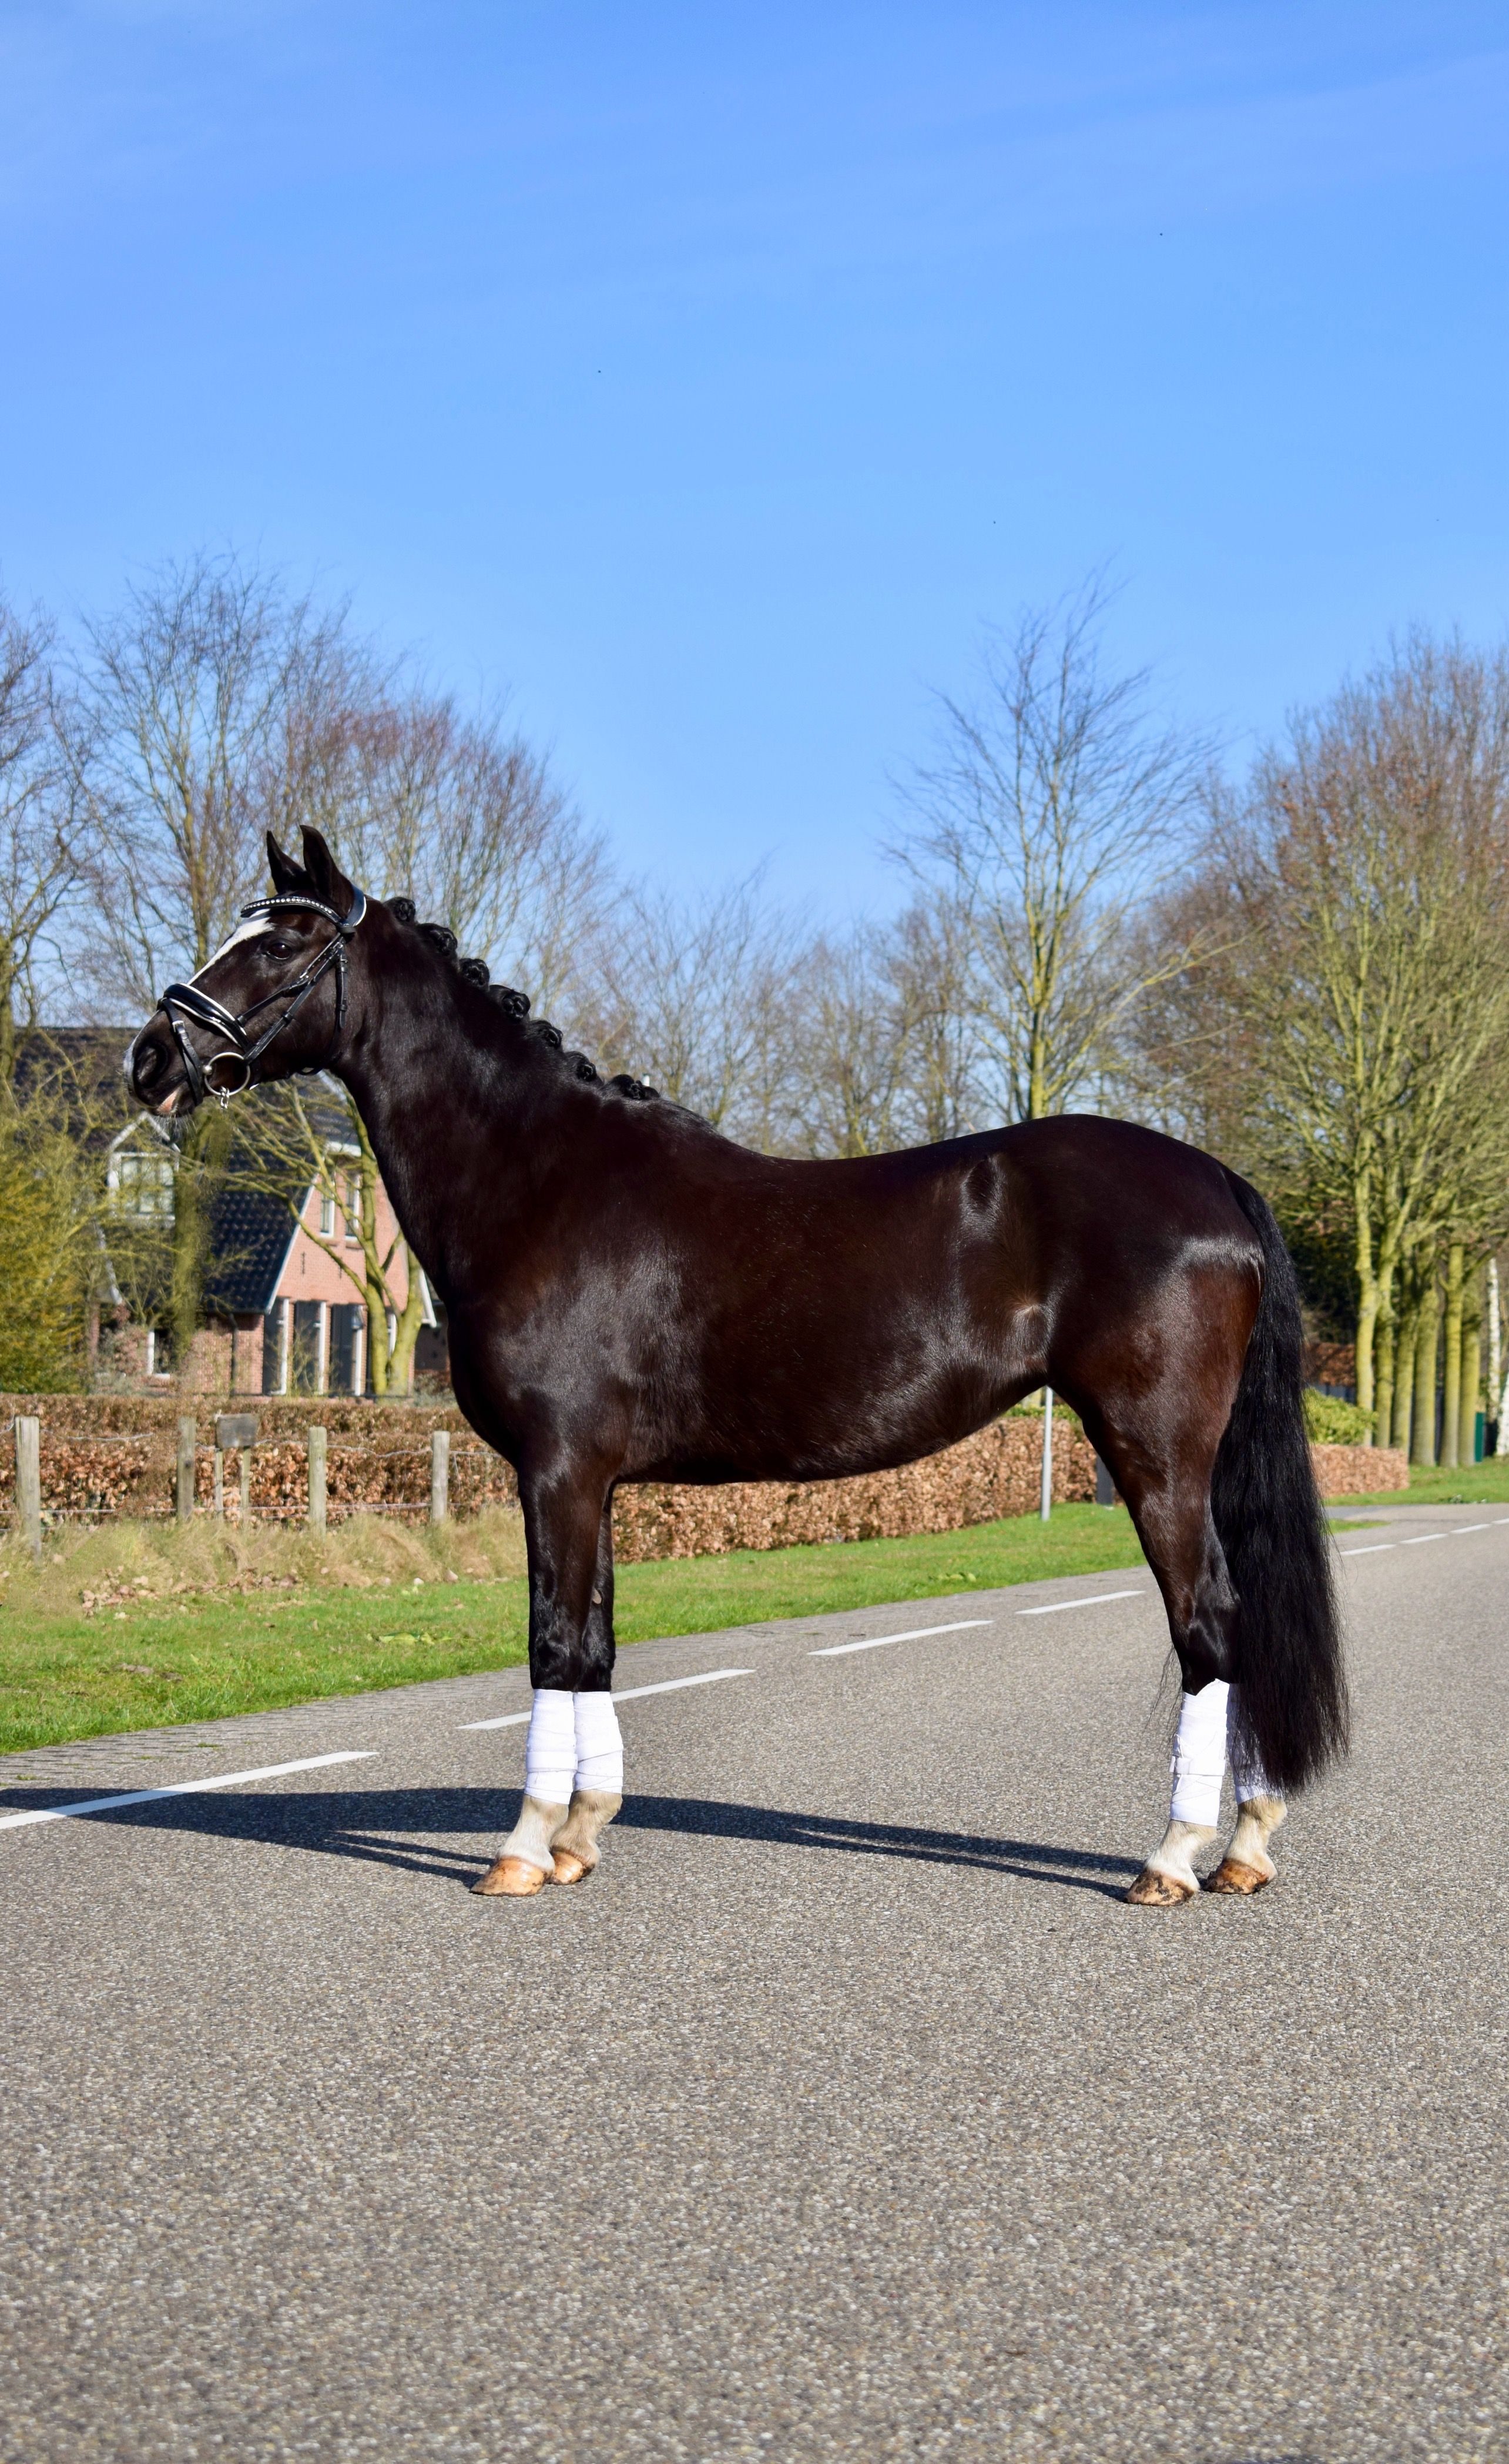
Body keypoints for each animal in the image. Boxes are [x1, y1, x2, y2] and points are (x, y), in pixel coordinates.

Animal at [126, 825, 1348, 1906]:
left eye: (283, 940)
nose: (150, 1060)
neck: (538, 1180)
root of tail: (1213, 1178)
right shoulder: (592, 1481)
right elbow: (596, 1643)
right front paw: (579, 1835)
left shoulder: (556, 1471)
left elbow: (552, 1641)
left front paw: (520, 1848)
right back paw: (1244, 1843)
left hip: (1154, 1452)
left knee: (1208, 1627)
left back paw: (1175, 1856)